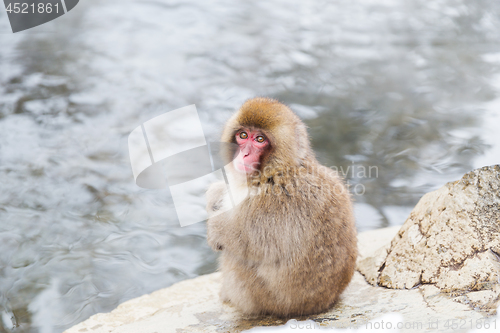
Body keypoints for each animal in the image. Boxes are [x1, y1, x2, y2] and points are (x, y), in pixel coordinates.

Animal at [205, 96, 358, 316]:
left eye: (260, 139)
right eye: (243, 135)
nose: (244, 154)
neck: (277, 170)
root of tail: (326, 301)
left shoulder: (272, 203)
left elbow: (245, 241)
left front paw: (215, 229)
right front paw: (215, 195)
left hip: (265, 297)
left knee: (236, 257)